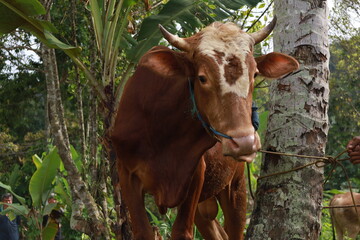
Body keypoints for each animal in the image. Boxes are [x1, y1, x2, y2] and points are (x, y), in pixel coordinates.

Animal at [112, 17, 298, 240]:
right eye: (202, 78)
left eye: (254, 74)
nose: (244, 142)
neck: (161, 131)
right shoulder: (127, 174)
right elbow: (143, 232)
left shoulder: (195, 176)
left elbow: (181, 231)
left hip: (235, 188)